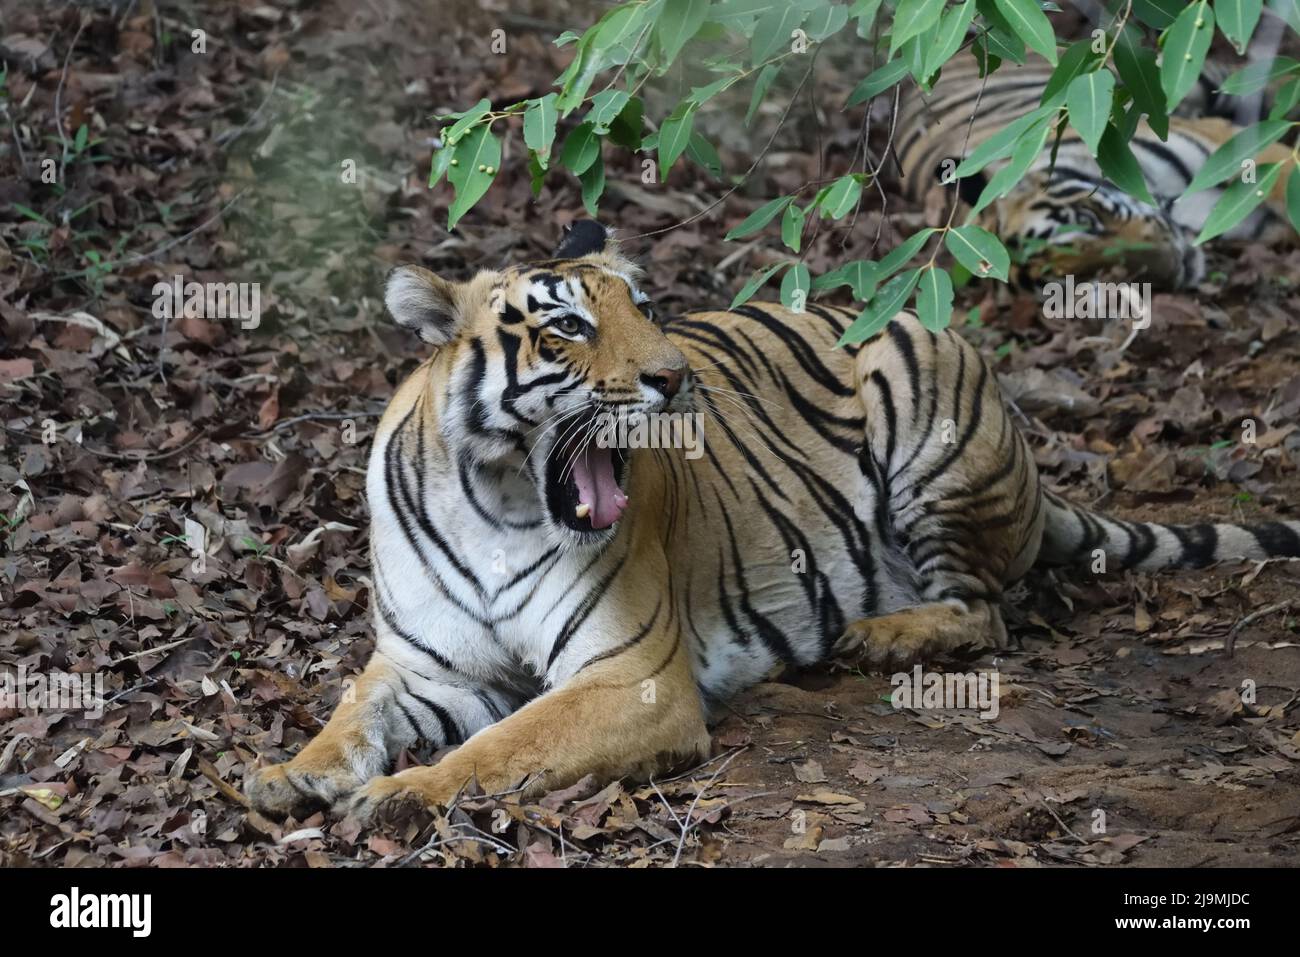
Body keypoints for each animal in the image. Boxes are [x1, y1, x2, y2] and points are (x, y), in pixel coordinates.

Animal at [244, 218, 1300, 821]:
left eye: (644, 307)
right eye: (568, 327)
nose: (676, 377)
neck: (496, 503)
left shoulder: (630, 677)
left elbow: (501, 748)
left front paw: (399, 794)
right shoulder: (427, 666)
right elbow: (349, 715)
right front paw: (288, 774)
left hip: (919, 398)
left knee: (988, 610)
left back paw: (882, 634)